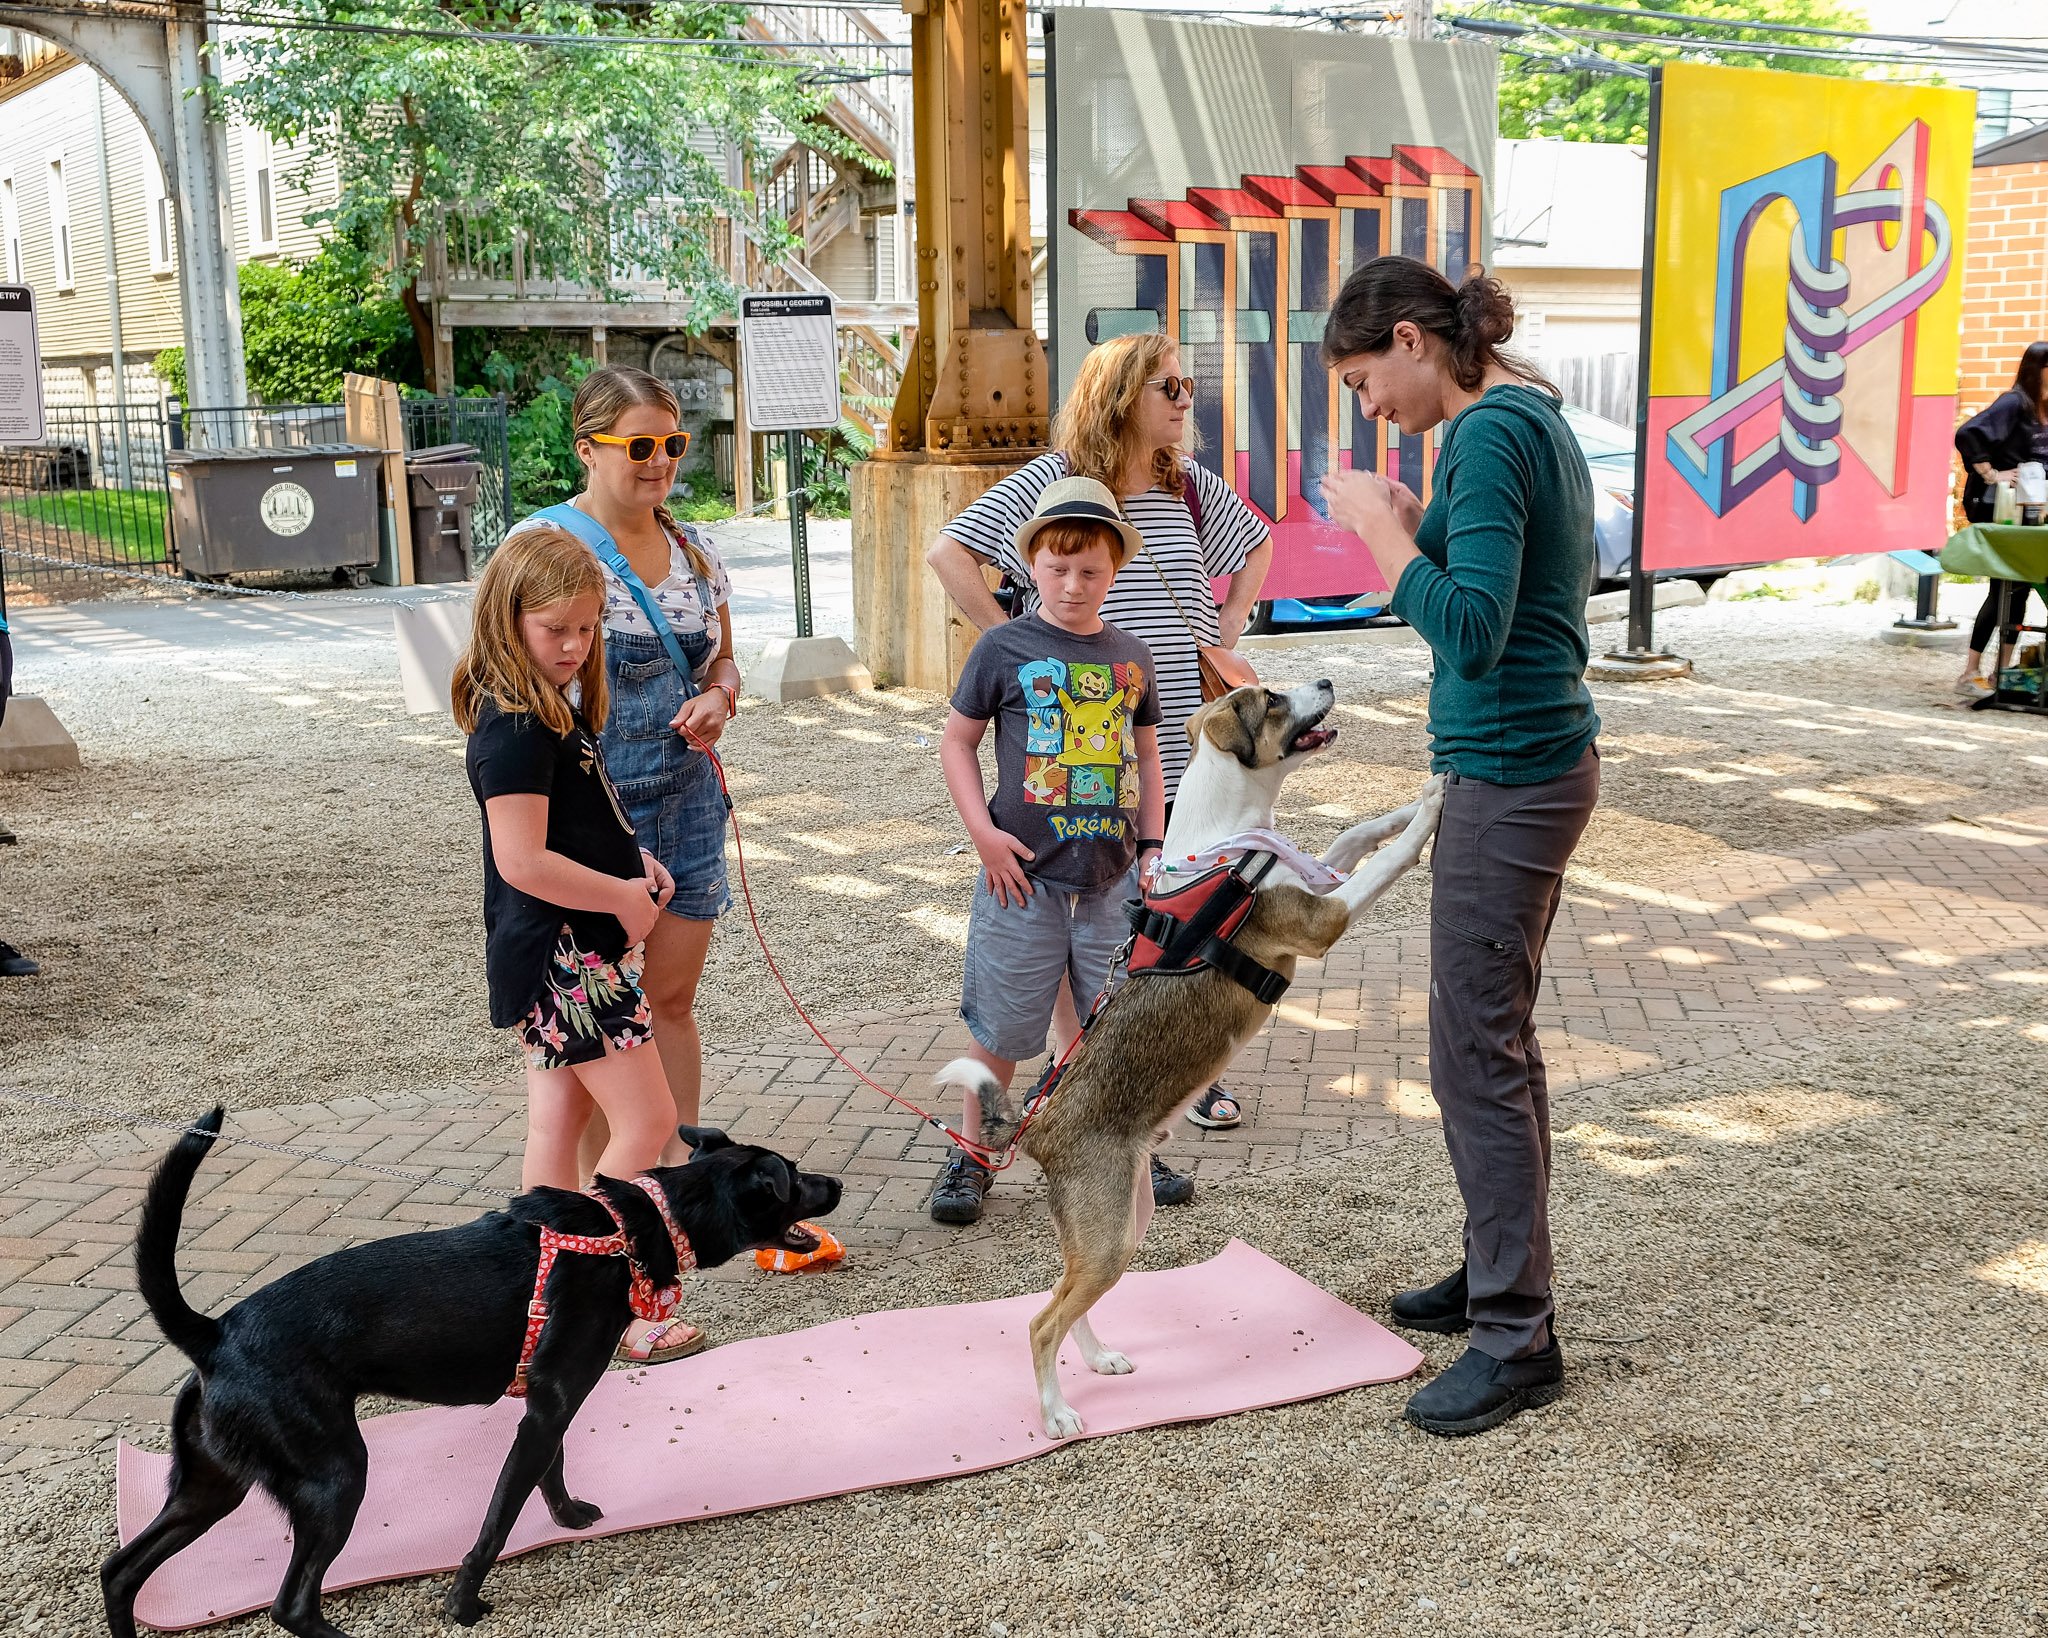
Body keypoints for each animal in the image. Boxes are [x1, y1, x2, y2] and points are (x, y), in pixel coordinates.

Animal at [101, 1105, 839, 1629]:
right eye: (794, 1176)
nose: (834, 1182)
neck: (631, 1231)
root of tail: (215, 1333)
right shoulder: (547, 1410)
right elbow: (497, 1520)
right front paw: (463, 1603)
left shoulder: (548, 1408)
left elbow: (552, 1472)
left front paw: (567, 1517)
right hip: (336, 1476)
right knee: (292, 1604)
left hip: (212, 1486)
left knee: (121, 1572)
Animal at [937, 679, 1449, 1433]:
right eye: (1272, 699)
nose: (1326, 682)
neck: (1228, 840)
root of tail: (1041, 1127)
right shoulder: (1322, 920)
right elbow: (1386, 858)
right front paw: (1430, 812)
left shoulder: (1314, 881)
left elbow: (1357, 834)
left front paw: (1413, 802)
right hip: (1110, 1233)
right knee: (1039, 1322)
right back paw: (1057, 1415)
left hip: (1122, 1225)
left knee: (1067, 1296)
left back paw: (1099, 1358)